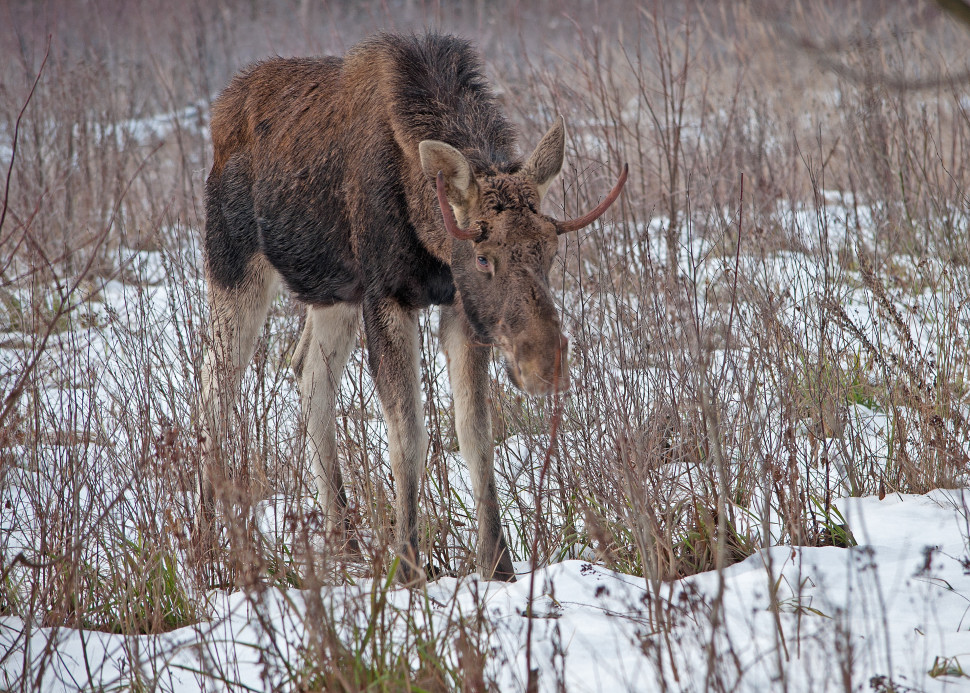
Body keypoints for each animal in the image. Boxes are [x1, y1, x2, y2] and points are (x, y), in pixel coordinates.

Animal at [199, 33, 624, 584]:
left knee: (307, 372)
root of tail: (222, 112)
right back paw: (207, 541)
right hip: (234, 263)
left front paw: (498, 567)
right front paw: (407, 565)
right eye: (483, 257)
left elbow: (475, 433)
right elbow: (409, 437)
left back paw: (344, 539)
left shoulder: (459, 310)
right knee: (216, 387)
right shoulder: (388, 296)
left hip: (334, 293)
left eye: (551, 251)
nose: (544, 363)